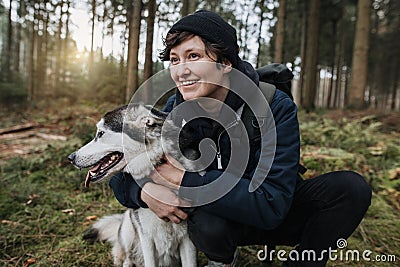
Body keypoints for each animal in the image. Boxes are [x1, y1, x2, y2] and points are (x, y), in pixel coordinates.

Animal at [70, 105, 198, 267]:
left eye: (100, 133)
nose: (71, 158)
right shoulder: (147, 239)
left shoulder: (188, 241)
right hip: (128, 228)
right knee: (128, 257)